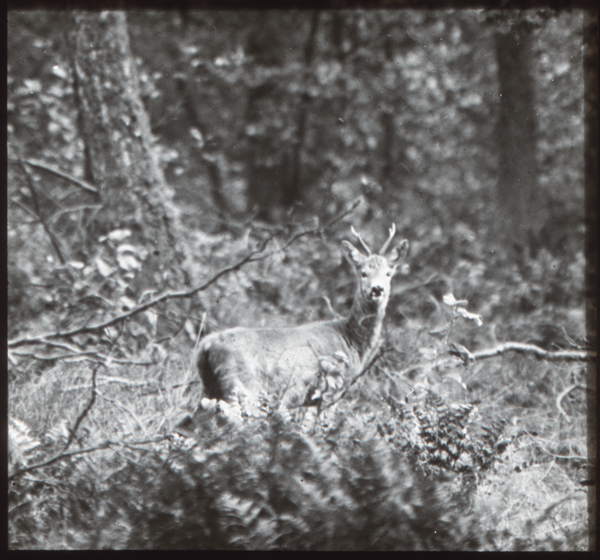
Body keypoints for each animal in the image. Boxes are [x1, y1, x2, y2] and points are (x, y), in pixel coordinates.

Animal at [197, 225, 408, 410]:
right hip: (243, 384)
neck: (351, 340)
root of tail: (206, 345)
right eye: (363, 273)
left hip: (211, 388)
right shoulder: (332, 387)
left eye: (388, 273)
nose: (377, 289)